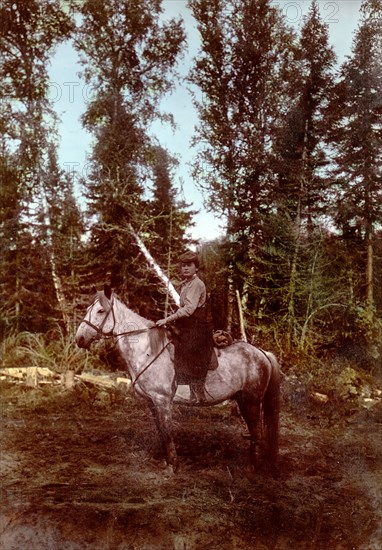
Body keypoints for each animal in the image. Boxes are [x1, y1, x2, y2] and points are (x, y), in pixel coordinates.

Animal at [76, 288, 282, 474]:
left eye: (100, 311)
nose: (79, 339)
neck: (147, 350)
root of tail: (262, 353)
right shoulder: (152, 402)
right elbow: (161, 433)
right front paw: (167, 463)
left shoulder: (162, 400)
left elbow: (167, 433)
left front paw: (172, 467)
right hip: (242, 400)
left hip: (251, 402)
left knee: (257, 432)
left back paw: (251, 468)